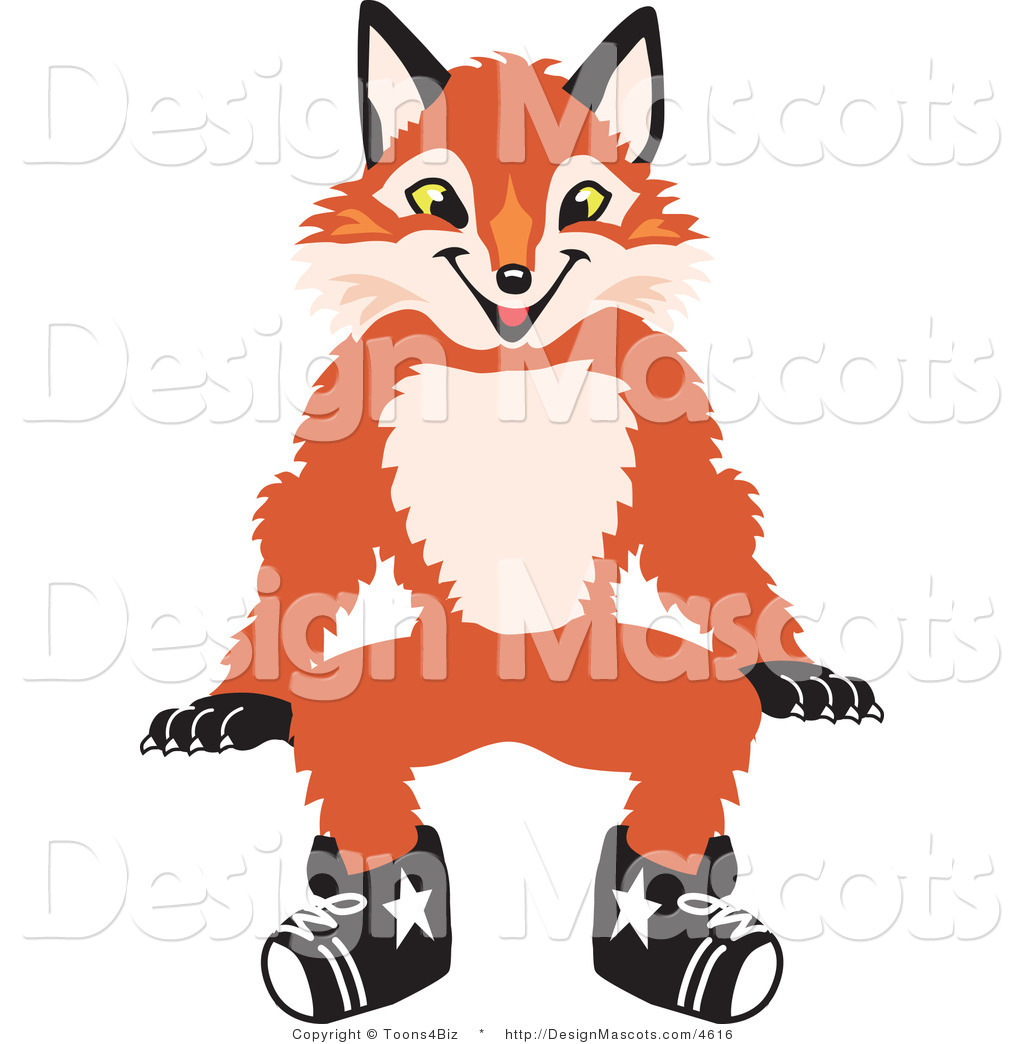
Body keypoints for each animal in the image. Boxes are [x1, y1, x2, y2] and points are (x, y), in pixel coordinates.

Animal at [142, 1, 882, 1026]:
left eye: (584, 203)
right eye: (435, 200)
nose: (516, 278)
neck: (510, 368)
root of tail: (516, 709)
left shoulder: (658, 405)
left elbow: (702, 533)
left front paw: (794, 667)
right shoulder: (354, 407)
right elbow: (313, 538)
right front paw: (238, 695)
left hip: (629, 687)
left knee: (690, 765)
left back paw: (683, 947)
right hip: (406, 689)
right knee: (357, 775)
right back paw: (362, 947)